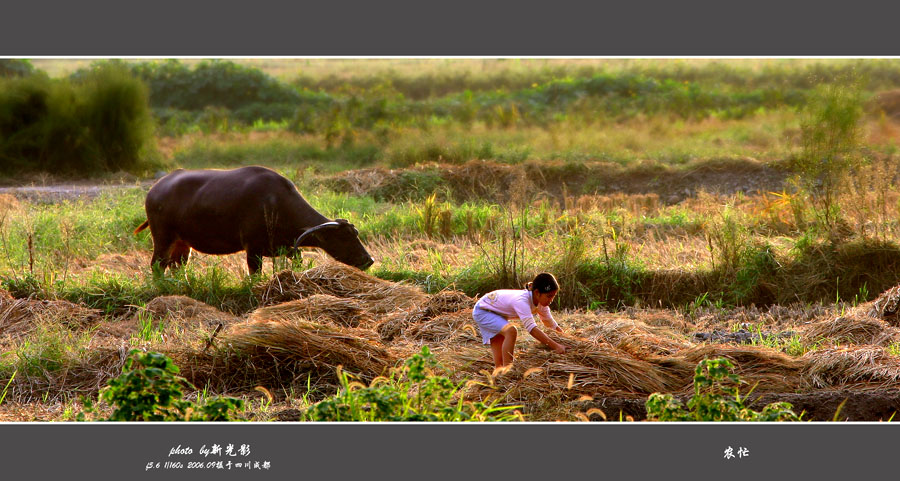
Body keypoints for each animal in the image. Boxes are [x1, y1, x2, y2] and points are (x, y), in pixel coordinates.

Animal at [132, 165, 374, 274]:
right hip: (162, 238)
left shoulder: (286, 247)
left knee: (177, 266)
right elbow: (255, 273)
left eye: (355, 234)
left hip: (183, 243)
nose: (369, 260)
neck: (275, 204)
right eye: (343, 237)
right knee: (157, 265)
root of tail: (155, 190)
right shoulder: (253, 249)